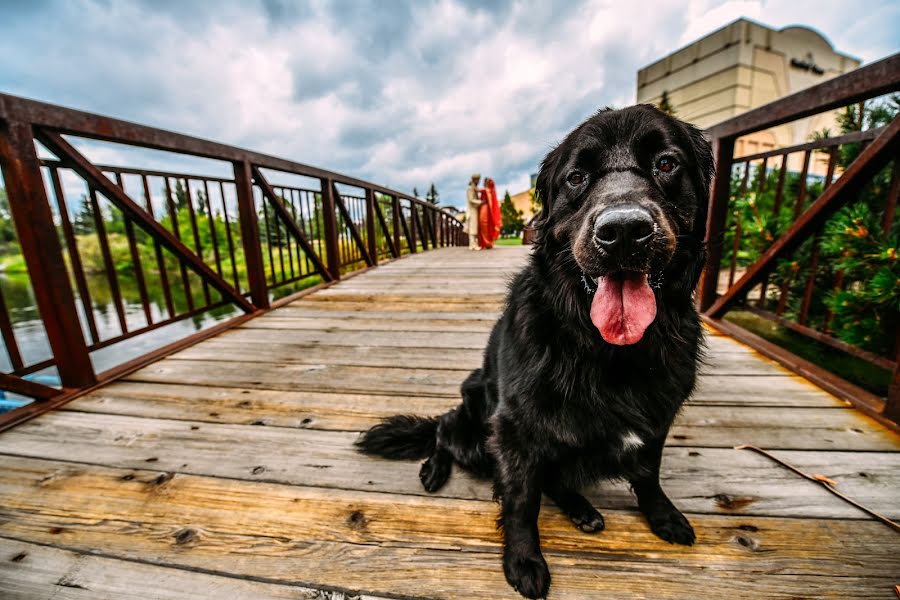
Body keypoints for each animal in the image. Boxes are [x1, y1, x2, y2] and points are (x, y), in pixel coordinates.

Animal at [356, 105, 712, 596]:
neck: (608, 351)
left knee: (556, 479)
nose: (623, 231)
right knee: (444, 430)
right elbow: (522, 500)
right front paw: (523, 560)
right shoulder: (515, 429)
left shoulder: (657, 416)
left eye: (666, 163)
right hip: (474, 423)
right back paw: (434, 468)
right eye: (577, 177)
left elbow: (648, 473)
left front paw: (663, 515)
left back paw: (581, 508)